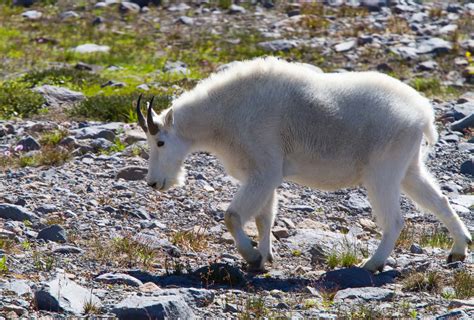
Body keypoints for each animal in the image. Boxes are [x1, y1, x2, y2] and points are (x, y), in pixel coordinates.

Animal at [135, 56, 472, 272]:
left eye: (160, 142)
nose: (154, 182)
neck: (225, 114)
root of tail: (423, 115)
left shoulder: (264, 170)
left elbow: (233, 216)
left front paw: (251, 256)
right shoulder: (263, 175)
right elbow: (264, 218)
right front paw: (264, 258)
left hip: (382, 171)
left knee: (395, 220)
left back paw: (372, 264)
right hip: (409, 167)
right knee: (438, 200)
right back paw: (458, 250)